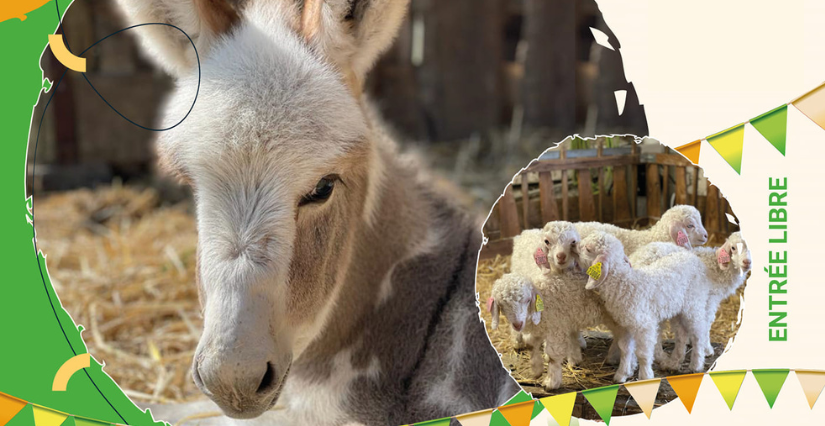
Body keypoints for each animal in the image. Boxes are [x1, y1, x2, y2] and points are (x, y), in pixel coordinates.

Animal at [580, 235, 708, 382]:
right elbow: (625, 349)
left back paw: (696, 365)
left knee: (698, 333)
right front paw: (621, 374)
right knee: (681, 334)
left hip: (694, 304)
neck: (623, 283)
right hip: (678, 309)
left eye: (588, 249)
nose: (575, 245)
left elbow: (643, 353)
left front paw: (645, 376)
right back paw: (674, 363)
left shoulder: (644, 325)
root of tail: (692, 257)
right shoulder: (625, 326)